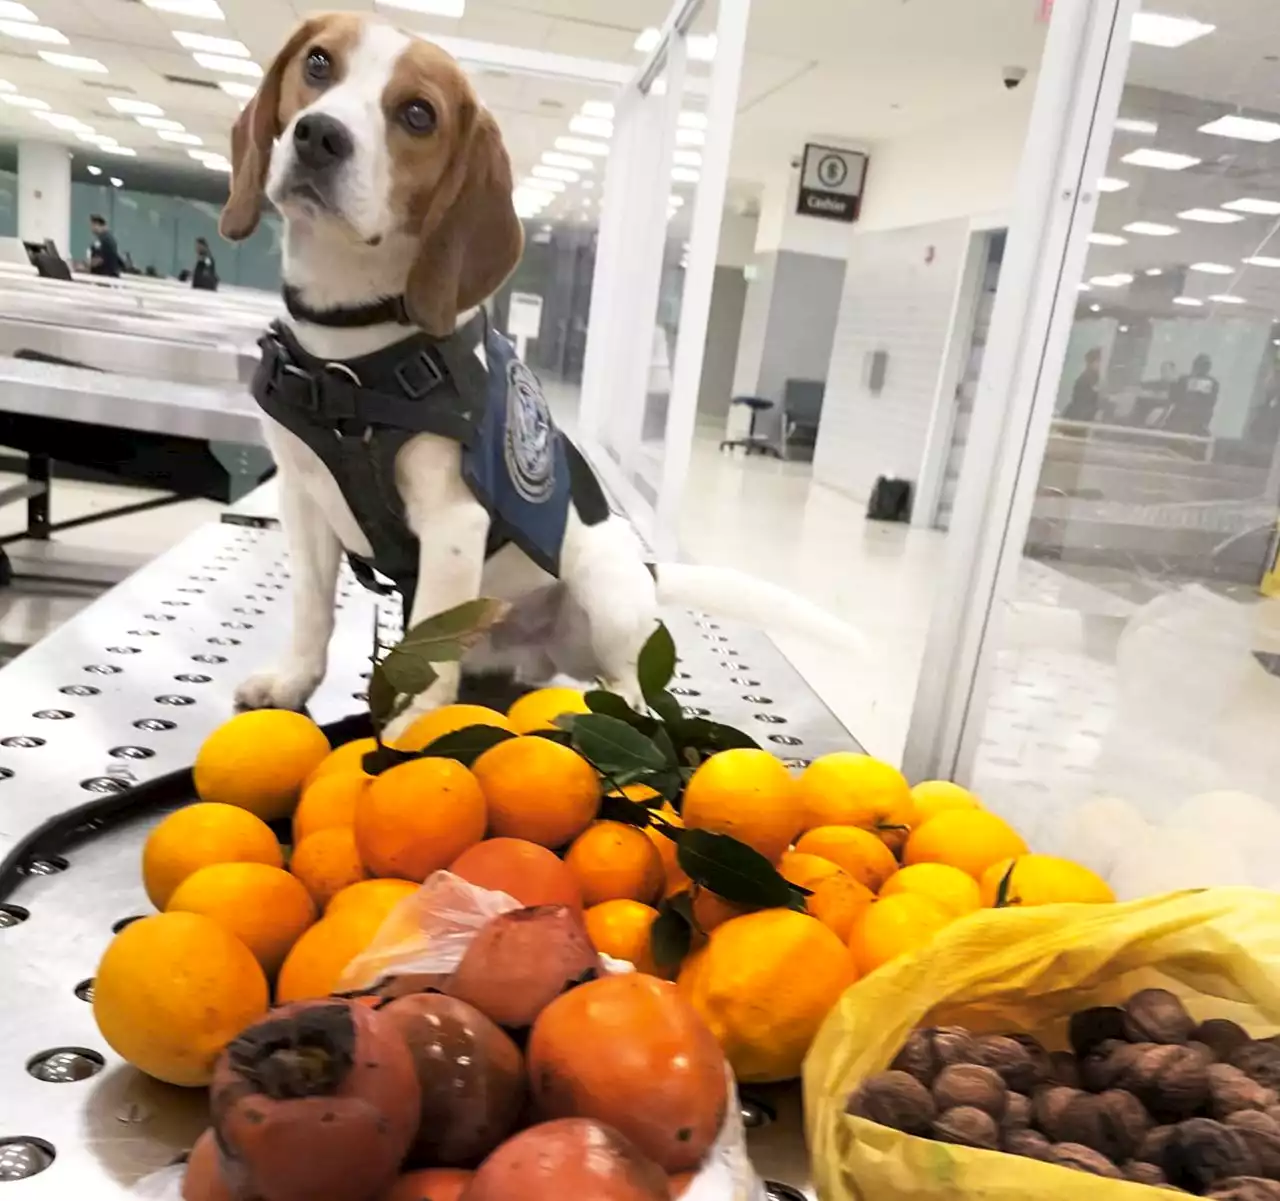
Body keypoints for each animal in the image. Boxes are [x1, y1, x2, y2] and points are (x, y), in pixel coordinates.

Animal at [222, 14, 860, 727]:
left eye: (418, 115)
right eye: (317, 64)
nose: (319, 136)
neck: (352, 346)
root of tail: (645, 571)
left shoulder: (453, 521)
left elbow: (429, 635)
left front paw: (419, 718)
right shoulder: (304, 503)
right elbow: (313, 613)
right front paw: (293, 683)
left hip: (604, 591)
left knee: (630, 683)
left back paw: (605, 699)